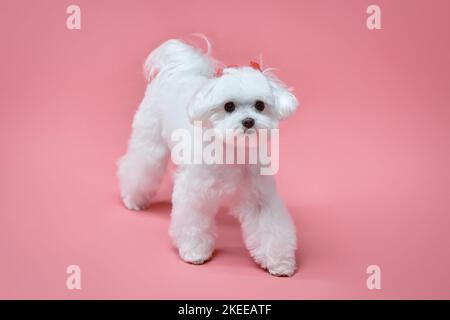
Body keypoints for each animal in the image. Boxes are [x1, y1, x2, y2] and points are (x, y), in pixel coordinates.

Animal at [118, 37, 298, 276]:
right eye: (228, 106)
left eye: (260, 105)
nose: (248, 121)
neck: (230, 150)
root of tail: (177, 69)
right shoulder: (194, 192)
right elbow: (192, 222)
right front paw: (194, 251)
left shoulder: (259, 196)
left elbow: (271, 227)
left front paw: (279, 262)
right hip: (149, 141)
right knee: (138, 166)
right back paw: (133, 199)